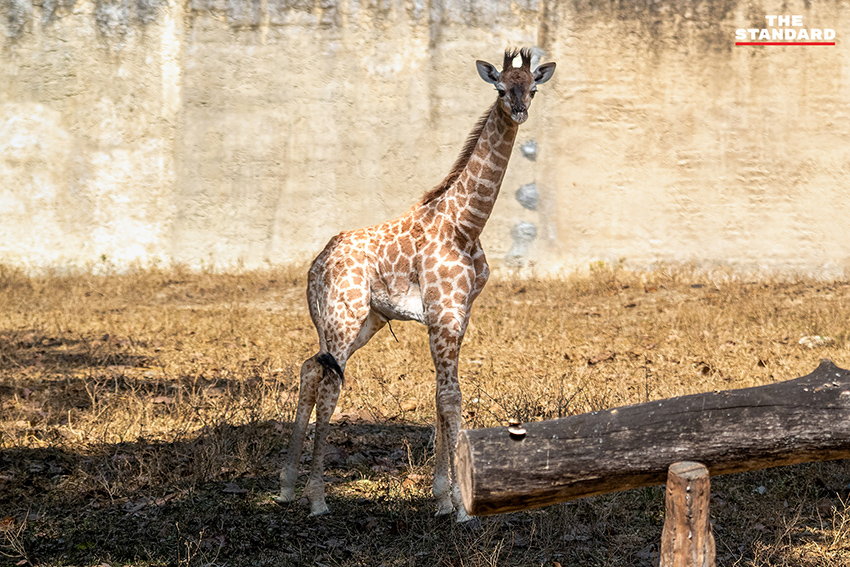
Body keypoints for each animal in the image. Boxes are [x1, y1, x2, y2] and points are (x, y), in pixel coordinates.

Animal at [280, 48, 556, 524]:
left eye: (533, 88)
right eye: (502, 88)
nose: (520, 110)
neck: (465, 225)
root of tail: (314, 266)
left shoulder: (459, 314)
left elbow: (440, 395)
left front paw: (442, 499)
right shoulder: (443, 315)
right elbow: (450, 397)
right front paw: (462, 508)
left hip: (361, 321)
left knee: (309, 369)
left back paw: (285, 487)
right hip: (343, 317)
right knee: (330, 385)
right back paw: (316, 500)